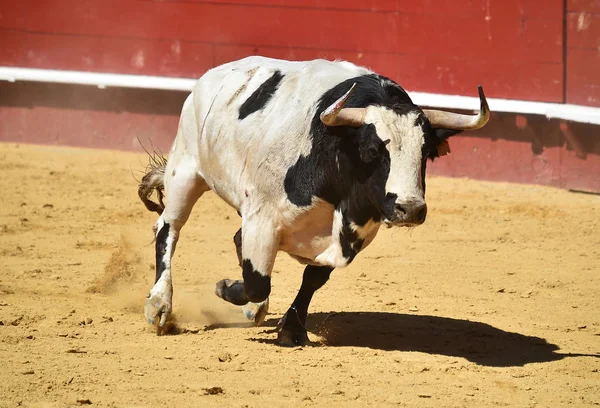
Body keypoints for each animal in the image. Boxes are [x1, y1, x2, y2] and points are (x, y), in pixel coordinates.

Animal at [138, 55, 490, 346]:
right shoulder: (263, 219)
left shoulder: (352, 233)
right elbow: (257, 282)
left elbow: (312, 278)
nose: (411, 208)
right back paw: (159, 304)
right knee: (168, 229)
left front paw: (291, 329)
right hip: (185, 171)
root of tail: (209, 79)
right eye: (373, 150)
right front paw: (226, 288)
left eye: (426, 153)